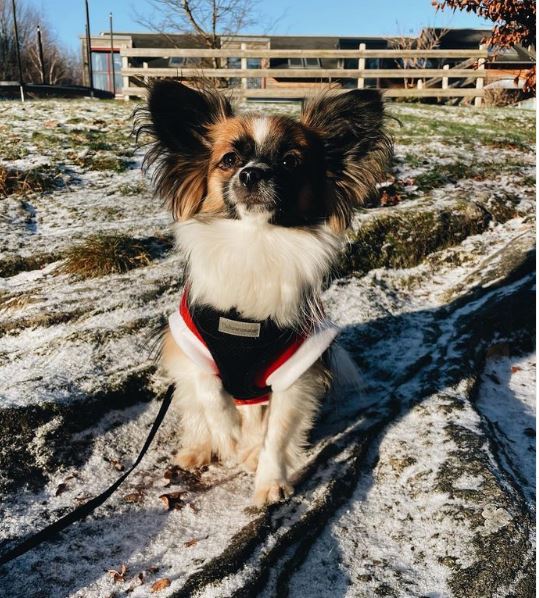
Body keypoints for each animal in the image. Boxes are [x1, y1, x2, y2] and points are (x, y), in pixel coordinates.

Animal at [138, 81, 392, 506]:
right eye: (228, 159)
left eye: (290, 162)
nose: (252, 172)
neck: (255, 242)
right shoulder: (188, 343)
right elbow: (209, 392)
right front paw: (225, 431)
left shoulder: (297, 374)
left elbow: (278, 434)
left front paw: (270, 481)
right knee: (195, 410)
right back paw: (201, 448)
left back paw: (250, 454)